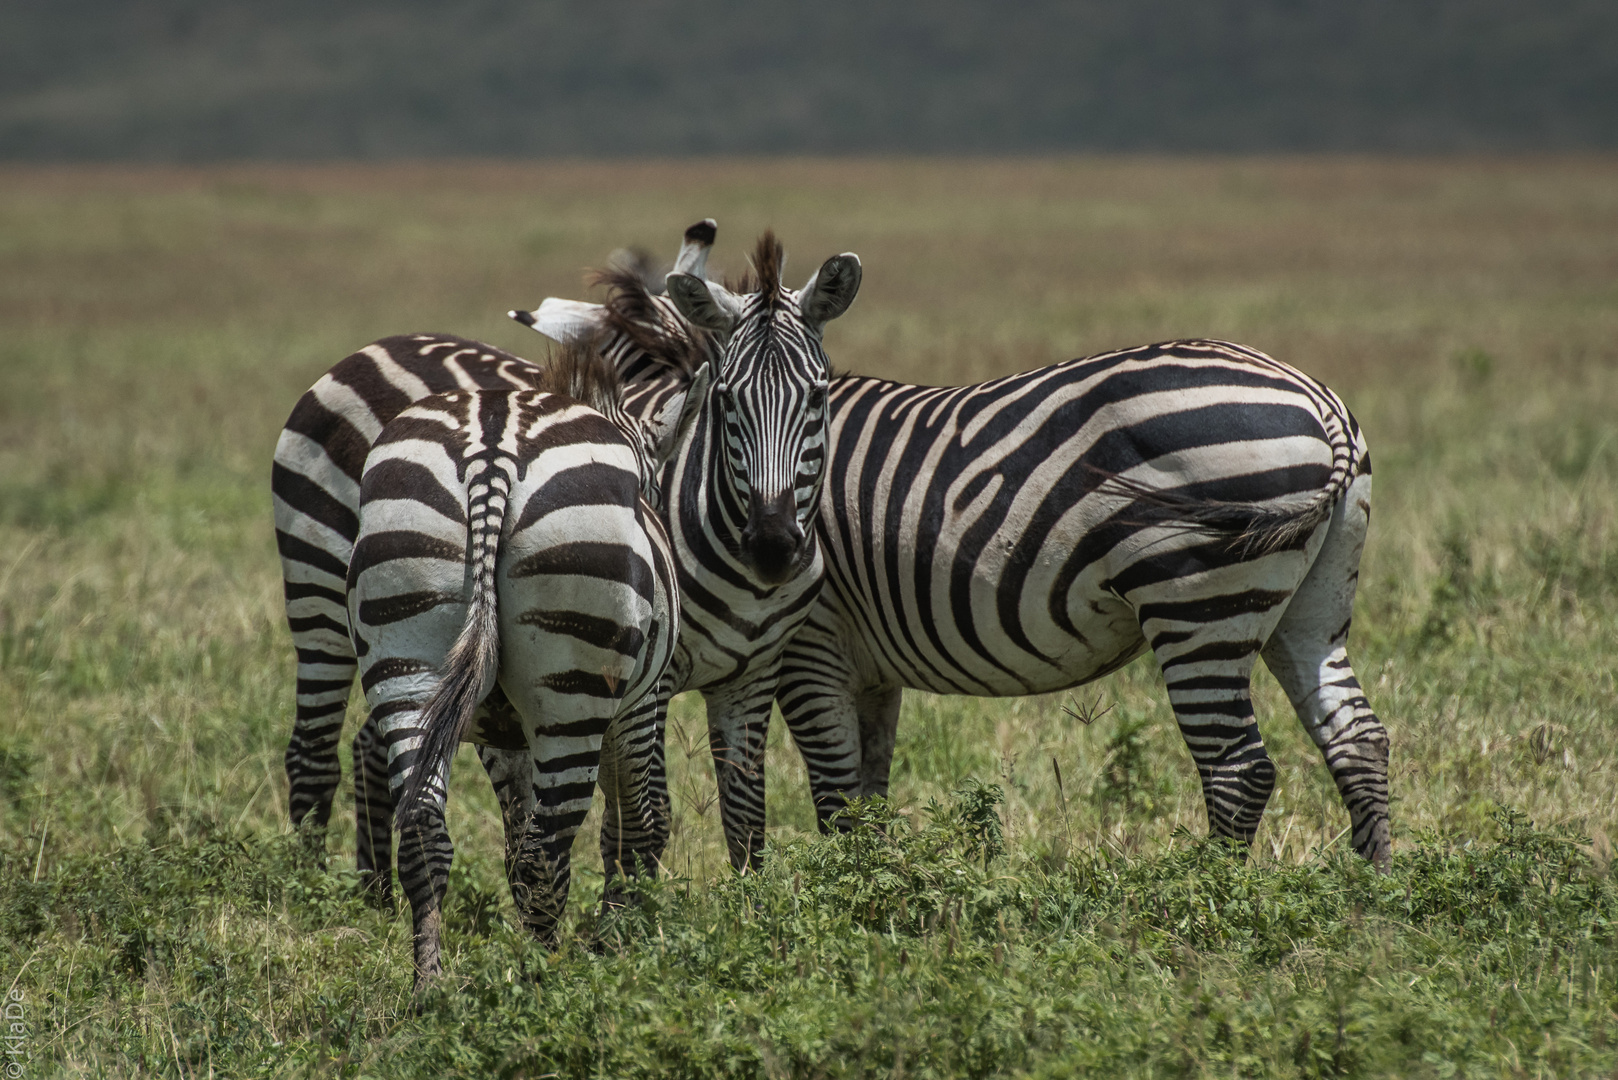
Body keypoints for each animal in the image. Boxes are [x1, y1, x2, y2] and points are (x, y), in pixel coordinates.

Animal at [271, 221, 715, 893]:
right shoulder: (636, 695)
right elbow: (636, 816)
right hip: (323, 586)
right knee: (320, 756)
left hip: (403, 629)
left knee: (382, 776)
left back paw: (359, 893)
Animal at [351, 340, 705, 990]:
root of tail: (491, 453)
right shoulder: (641, 704)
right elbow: (639, 821)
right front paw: (624, 937)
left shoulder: (499, 733)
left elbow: (517, 842)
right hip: (574, 686)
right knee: (548, 848)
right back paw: (547, 983)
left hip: (404, 647)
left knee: (425, 831)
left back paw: (430, 991)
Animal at [524, 233, 867, 874]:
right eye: (728, 400)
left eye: (818, 395)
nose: (772, 546)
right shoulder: (651, 684)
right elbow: (641, 819)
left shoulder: (753, 675)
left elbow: (746, 816)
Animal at [770, 341, 1391, 867]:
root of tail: (1320, 402)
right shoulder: (869, 669)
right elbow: (867, 793)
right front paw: (873, 883)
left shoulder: (809, 643)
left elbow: (830, 794)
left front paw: (833, 893)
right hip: (1313, 606)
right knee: (1358, 738)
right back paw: (1370, 889)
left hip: (1198, 601)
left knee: (1238, 768)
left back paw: (1208, 892)